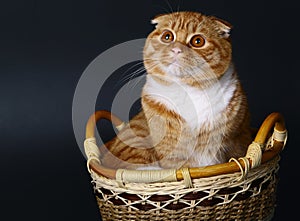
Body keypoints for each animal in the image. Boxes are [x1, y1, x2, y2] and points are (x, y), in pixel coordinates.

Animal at [99, 11, 252, 169]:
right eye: (167, 36)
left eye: (198, 41)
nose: (176, 49)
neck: (189, 91)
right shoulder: (172, 154)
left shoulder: (238, 139)